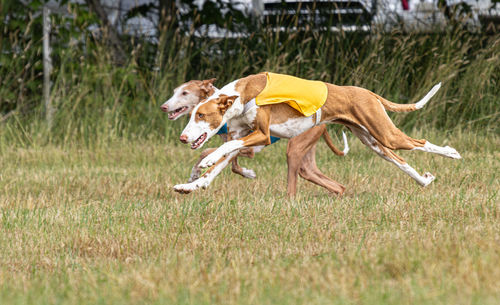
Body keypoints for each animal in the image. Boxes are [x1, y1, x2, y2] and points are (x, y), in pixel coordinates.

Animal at [162, 77, 350, 194]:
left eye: (184, 93)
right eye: (175, 92)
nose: (164, 106)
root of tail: (323, 124)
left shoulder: (249, 147)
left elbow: (210, 153)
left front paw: (247, 173)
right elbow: (223, 160)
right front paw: (195, 176)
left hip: (294, 149)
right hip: (306, 159)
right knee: (332, 183)